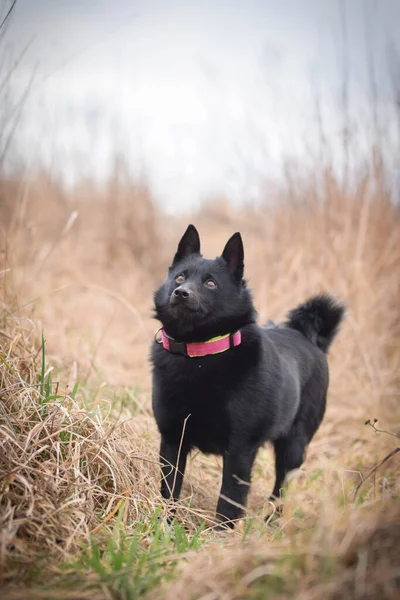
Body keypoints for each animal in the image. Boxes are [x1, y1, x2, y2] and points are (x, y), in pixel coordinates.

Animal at [150, 224, 344, 524]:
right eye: (180, 277)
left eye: (210, 283)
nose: (181, 292)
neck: (200, 356)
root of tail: (309, 337)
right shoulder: (172, 439)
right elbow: (169, 491)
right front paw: (164, 527)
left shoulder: (240, 449)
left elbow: (228, 502)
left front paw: (219, 535)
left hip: (293, 446)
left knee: (281, 487)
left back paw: (272, 522)